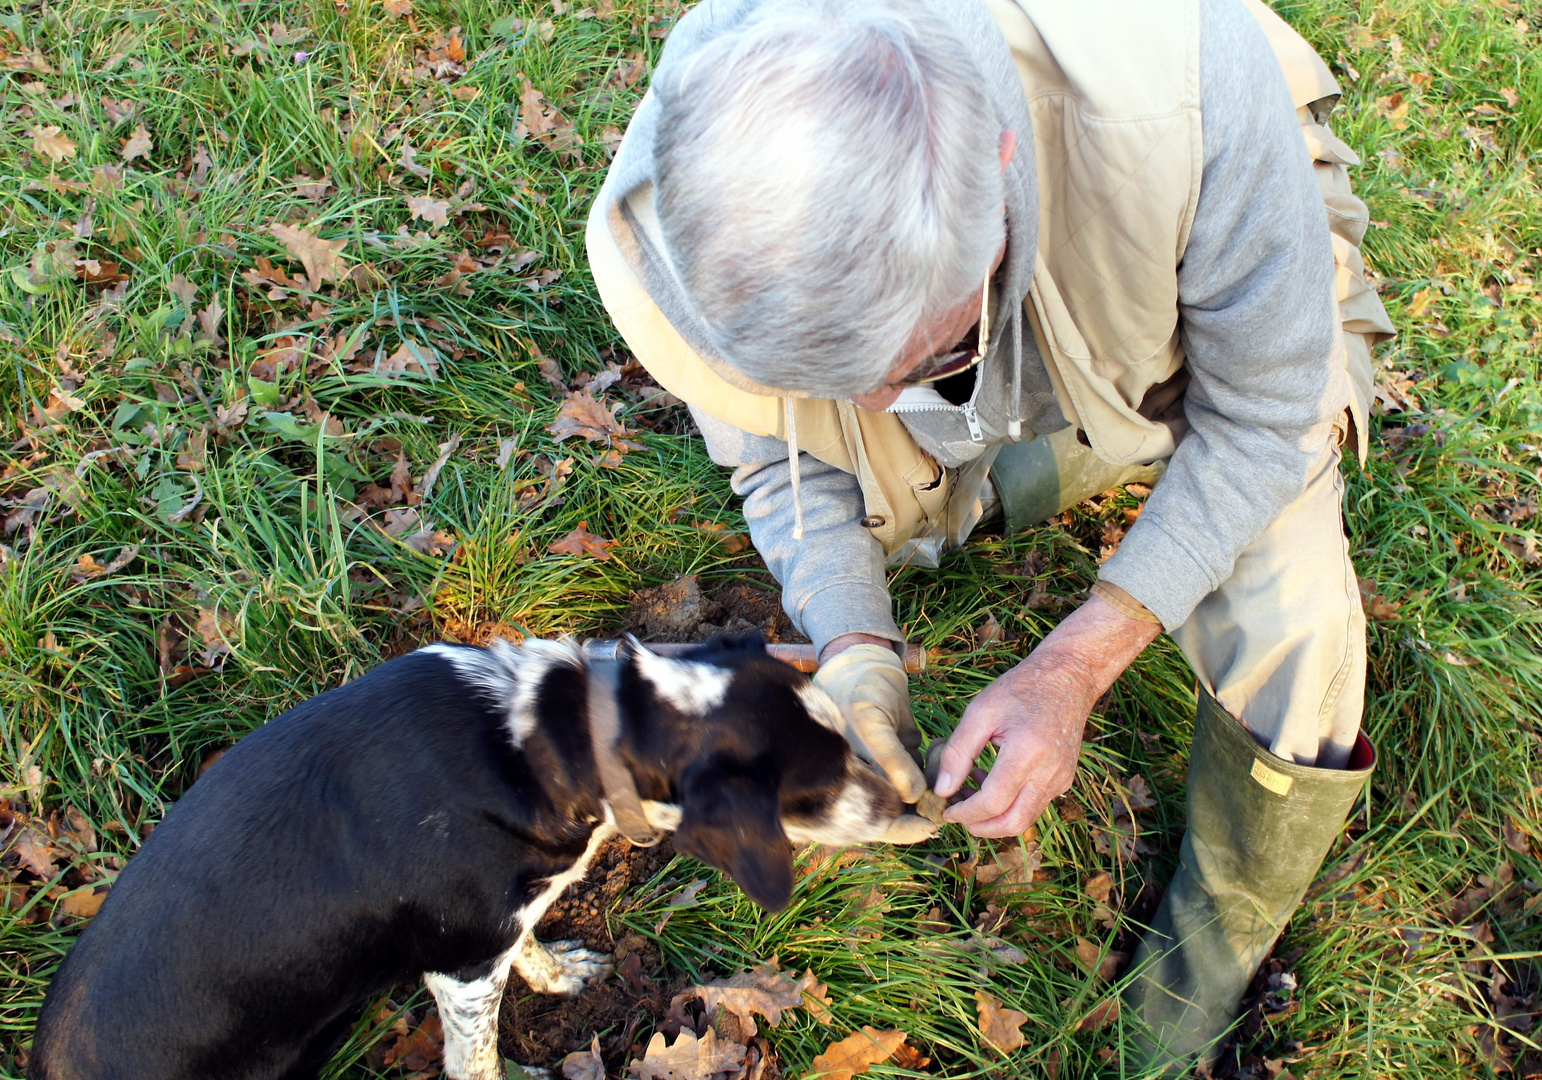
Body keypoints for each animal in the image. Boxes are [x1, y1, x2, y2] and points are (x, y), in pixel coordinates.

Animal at [33, 635, 925, 1073]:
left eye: (847, 733)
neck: (552, 732)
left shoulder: (499, 918)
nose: (910, 807)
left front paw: (560, 974)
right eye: (813, 788)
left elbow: (529, 944)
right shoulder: (460, 960)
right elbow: (479, 1058)